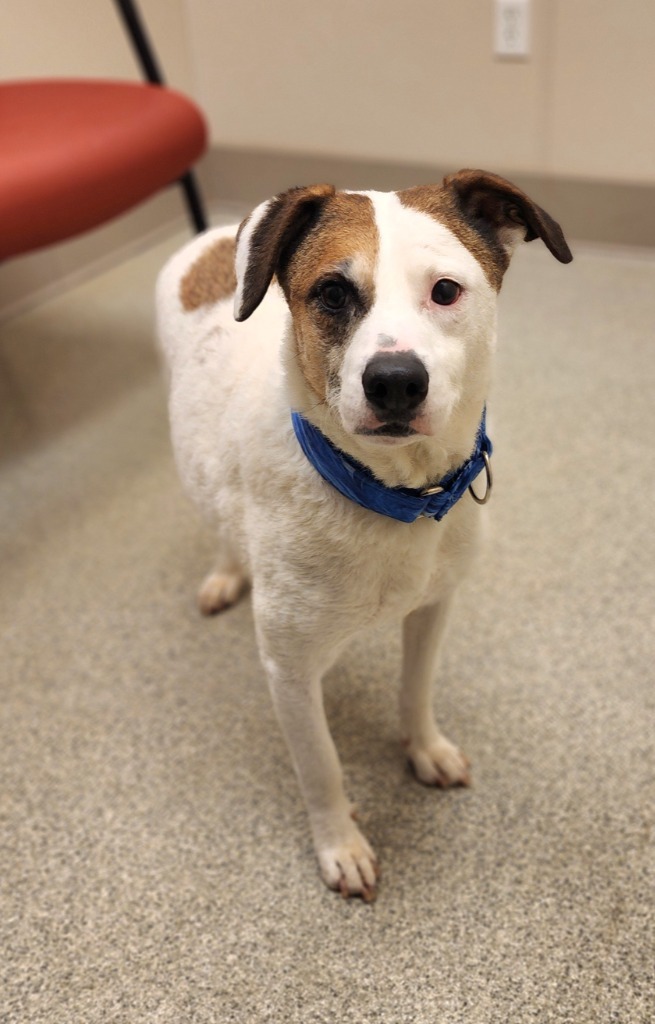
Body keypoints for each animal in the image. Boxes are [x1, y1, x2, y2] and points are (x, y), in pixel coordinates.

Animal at [155, 172, 569, 901]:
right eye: (331, 293)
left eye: (445, 290)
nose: (395, 382)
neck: (391, 497)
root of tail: (209, 240)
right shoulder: (290, 672)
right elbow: (320, 766)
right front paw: (340, 844)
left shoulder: (434, 609)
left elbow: (415, 690)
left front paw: (423, 749)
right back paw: (227, 571)